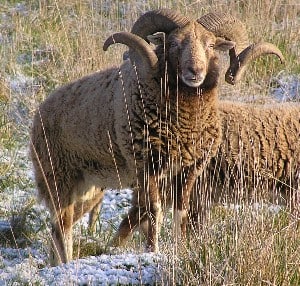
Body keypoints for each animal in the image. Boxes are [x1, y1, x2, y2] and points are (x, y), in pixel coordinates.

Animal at [29, 7, 239, 264]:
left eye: (210, 45)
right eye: (174, 44)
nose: (195, 72)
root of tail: (40, 111)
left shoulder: (188, 169)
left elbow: (180, 212)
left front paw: (180, 249)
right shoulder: (146, 167)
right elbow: (154, 211)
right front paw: (153, 250)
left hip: (87, 187)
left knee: (57, 226)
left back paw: (55, 263)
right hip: (57, 177)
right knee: (62, 226)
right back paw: (66, 264)